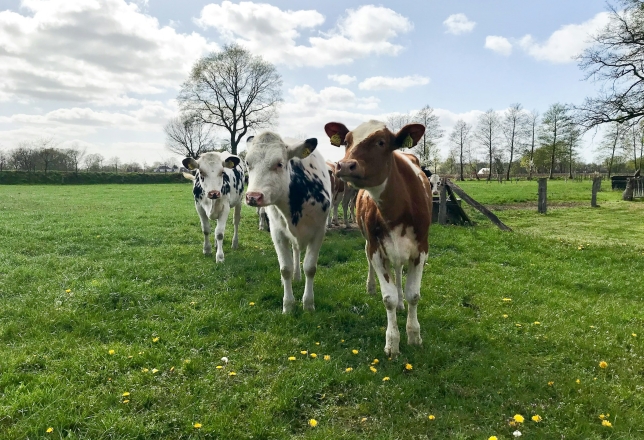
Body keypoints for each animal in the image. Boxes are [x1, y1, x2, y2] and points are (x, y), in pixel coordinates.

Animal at [245, 133, 331, 313]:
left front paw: (308, 304)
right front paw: (289, 305)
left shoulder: (319, 231)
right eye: (248, 163)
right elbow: (285, 268)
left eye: (279, 163)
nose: (253, 197)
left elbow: (310, 268)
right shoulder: (277, 233)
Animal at [325, 120, 432, 357]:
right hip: (370, 242)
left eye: (381, 142)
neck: (397, 209)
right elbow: (388, 298)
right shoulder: (376, 248)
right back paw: (372, 287)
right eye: (347, 142)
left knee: (399, 270)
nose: (344, 165)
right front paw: (392, 342)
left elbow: (413, 294)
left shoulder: (421, 249)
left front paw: (414, 336)